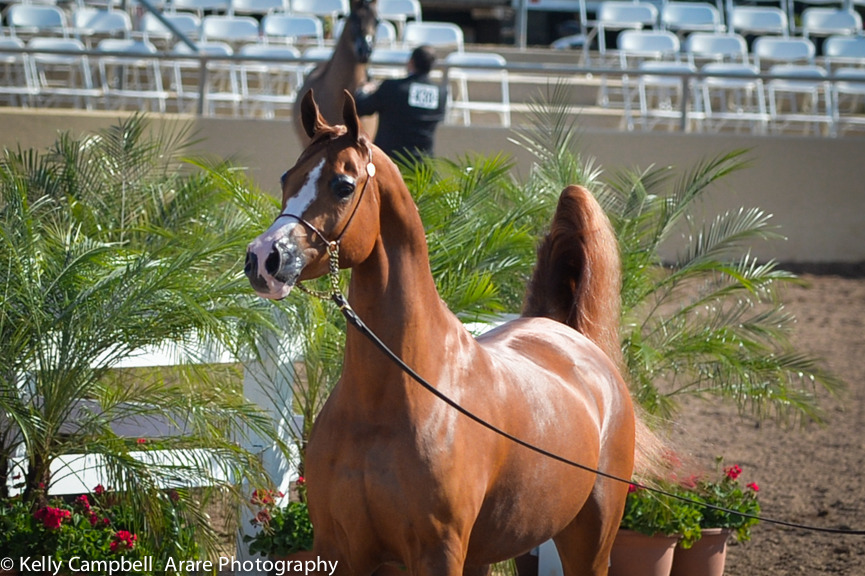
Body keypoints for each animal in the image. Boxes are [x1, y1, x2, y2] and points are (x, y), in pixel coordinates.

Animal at [245, 90, 639, 576]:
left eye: (343, 184)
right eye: (287, 177)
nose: (263, 258)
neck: (387, 402)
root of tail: (570, 337)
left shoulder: (438, 552)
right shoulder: (340, 550)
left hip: (590, 539)